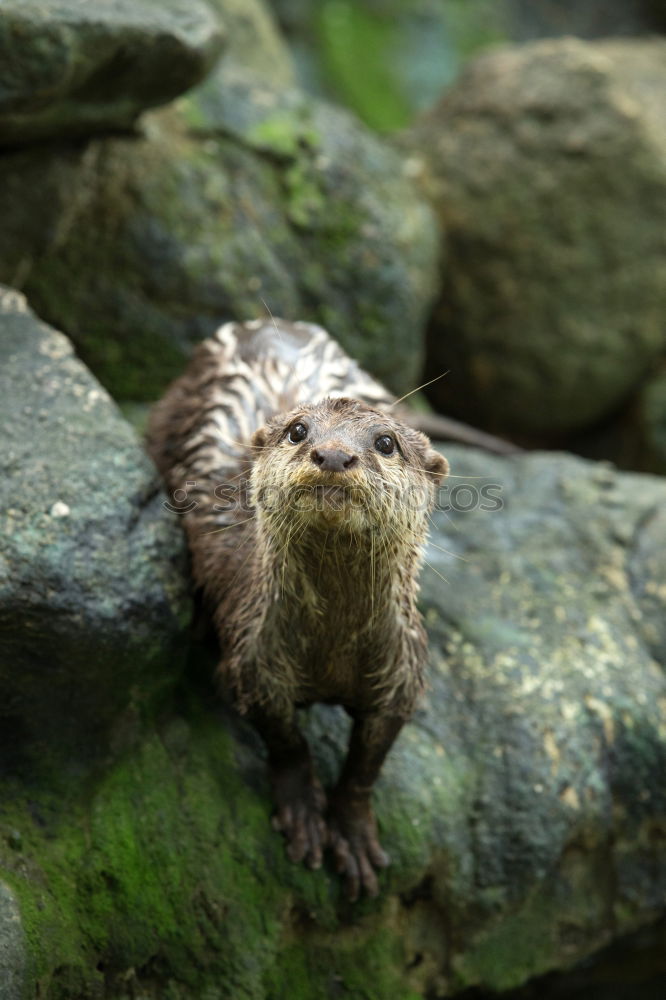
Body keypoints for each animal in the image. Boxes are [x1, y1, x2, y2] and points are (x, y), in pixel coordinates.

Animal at [148, 320, 448, 900]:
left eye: (386, 443)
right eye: (298, 431)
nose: (332, 455)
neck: (331, 646)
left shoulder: (402, 671)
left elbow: (366, 766)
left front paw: (352, 833)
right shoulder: (253, 658)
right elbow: (285, 740)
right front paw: (305, 813)